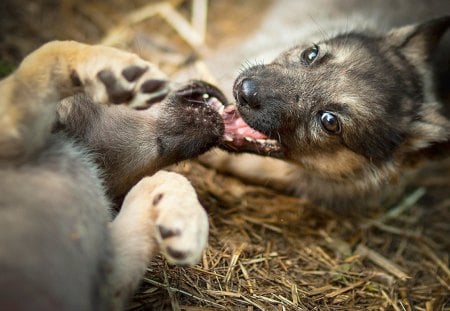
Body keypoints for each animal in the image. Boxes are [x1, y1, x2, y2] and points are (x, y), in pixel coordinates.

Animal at [0, 40, 225, 310]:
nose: (218, 87)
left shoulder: (106, 285)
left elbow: (168, 179)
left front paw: (186, 222)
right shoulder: (9, 128)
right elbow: (49, 50)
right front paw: (114, 66)